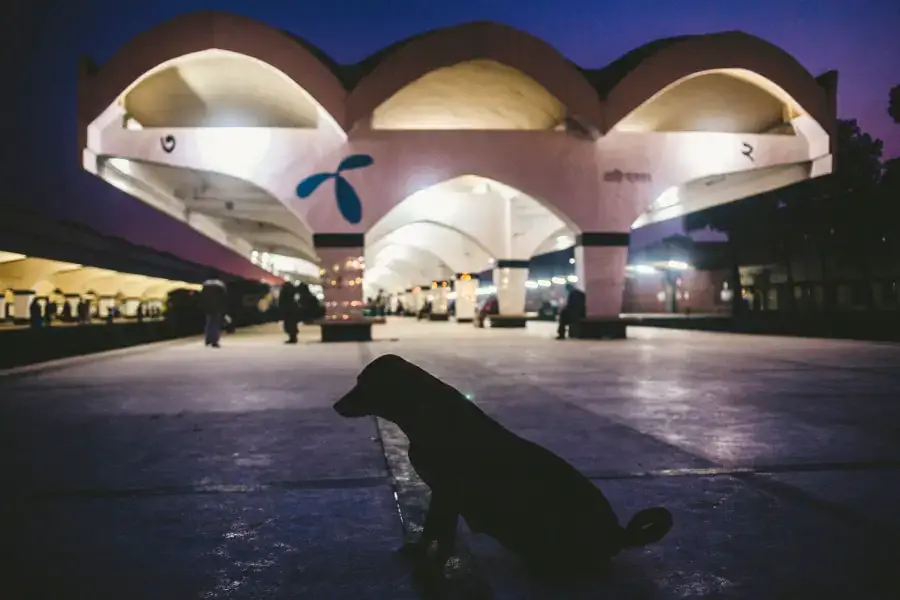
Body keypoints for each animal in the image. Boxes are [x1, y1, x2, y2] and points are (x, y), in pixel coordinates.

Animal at [334, 354, 672, 576]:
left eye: (363, 384)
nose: (335, 406)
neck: (426, 413)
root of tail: (619, 534)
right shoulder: (442, 495)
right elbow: (437, 529)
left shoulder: (448, 493)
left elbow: (439, 532)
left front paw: (430, 559)